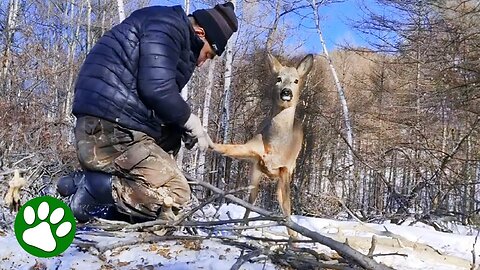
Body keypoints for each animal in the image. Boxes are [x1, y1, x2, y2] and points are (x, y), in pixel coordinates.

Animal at [212, 53, 314, 238]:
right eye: (278, 78)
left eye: (296, 80)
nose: (286, 92)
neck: (276, 145)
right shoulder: (254, 153)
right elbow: (229, 148)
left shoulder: (285, 168)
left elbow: (287, 207)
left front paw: (293, 238)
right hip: (256, 171)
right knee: (251, 200)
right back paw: (241, 231)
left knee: (282, 202)